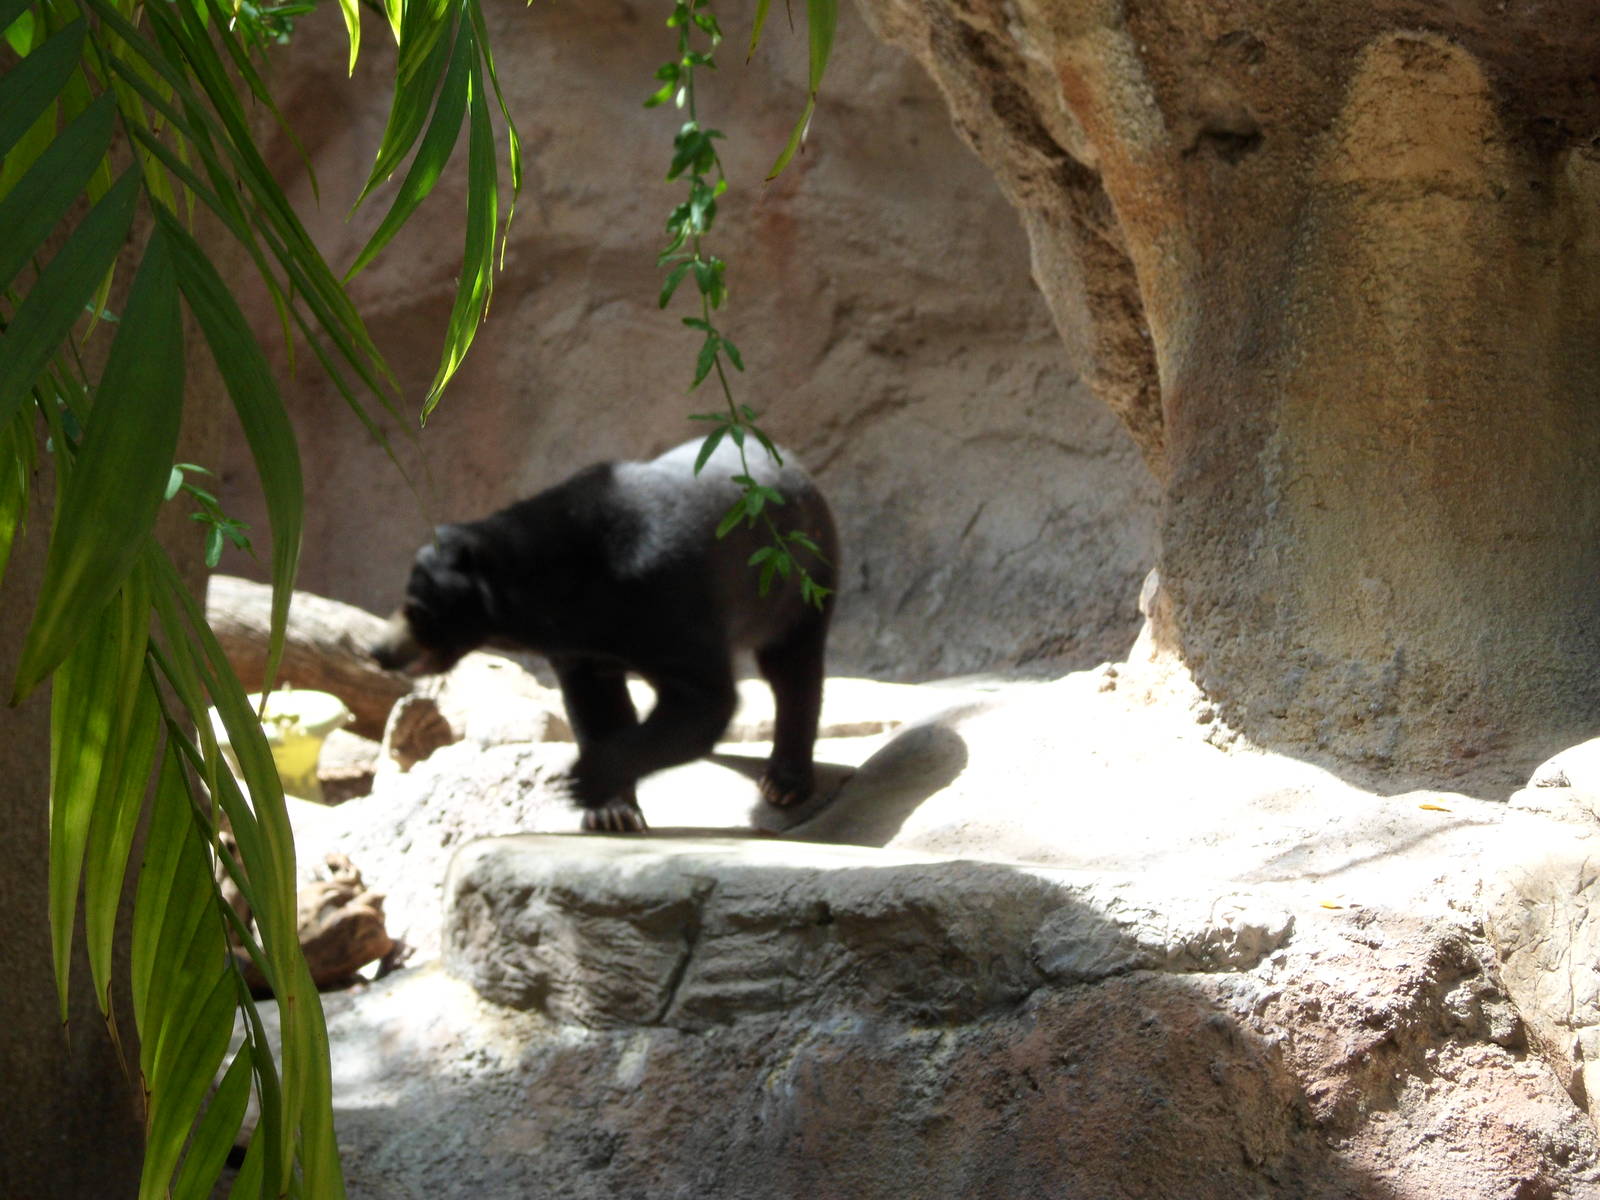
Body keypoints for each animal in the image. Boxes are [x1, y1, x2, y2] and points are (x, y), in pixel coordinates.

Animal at [370, 438, 839, 832]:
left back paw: (785, 781)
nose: (378, 651)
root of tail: (794, 463)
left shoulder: (669, 598)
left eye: (416, 610)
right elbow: (598, 706)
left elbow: (703, 700)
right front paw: (611, 812)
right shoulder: (582, 649)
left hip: (800, 580)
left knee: (792, 668)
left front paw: (583, 780)